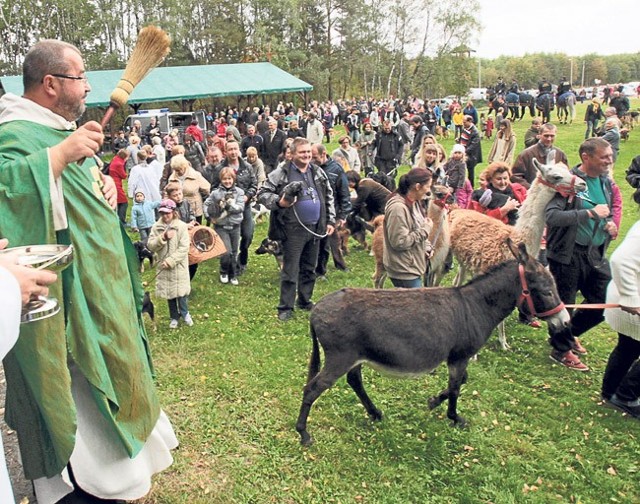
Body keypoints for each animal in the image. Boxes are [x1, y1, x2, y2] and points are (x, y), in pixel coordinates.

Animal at [296, 240, 568, 444]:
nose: (565, 322)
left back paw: (375, 413)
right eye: (547, 291)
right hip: (340, 356)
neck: (476, 305)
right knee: (313, 388)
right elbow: (457, 387)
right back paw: (303, 433)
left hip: (355, 357)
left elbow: (461, 382)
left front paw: (434, 401)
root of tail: (317, 309)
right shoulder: (460, 356)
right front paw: (454, 417)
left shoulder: (456, 356)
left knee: (354, 381)